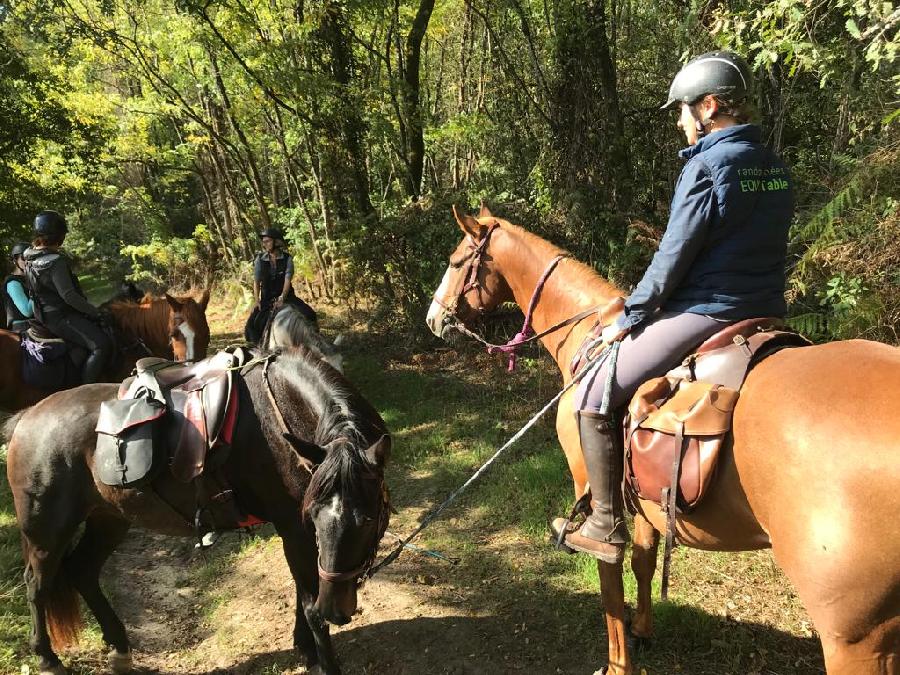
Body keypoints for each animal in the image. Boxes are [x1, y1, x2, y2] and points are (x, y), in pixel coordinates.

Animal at [3, 348, 390, 675]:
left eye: (369, 519)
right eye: (317, 517)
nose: (336, 609)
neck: (280, 417)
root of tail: (25, 419)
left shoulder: (298, 532)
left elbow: (302, 594)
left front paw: (304, 647)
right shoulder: (294, 528)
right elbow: (309, 604)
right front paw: (321, 657)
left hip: (109, 519)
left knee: (82, 571)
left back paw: (119, 648)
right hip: (47, 531)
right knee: (37, 584)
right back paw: (47, 659)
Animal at [424, 207, 900, 675]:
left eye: (454, 261)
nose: (433, 318)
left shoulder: (593, 490)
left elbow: (609, 576)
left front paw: (618, 663)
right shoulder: (642, 501)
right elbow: (642, 561)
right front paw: (643, 629)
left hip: (855, 639)